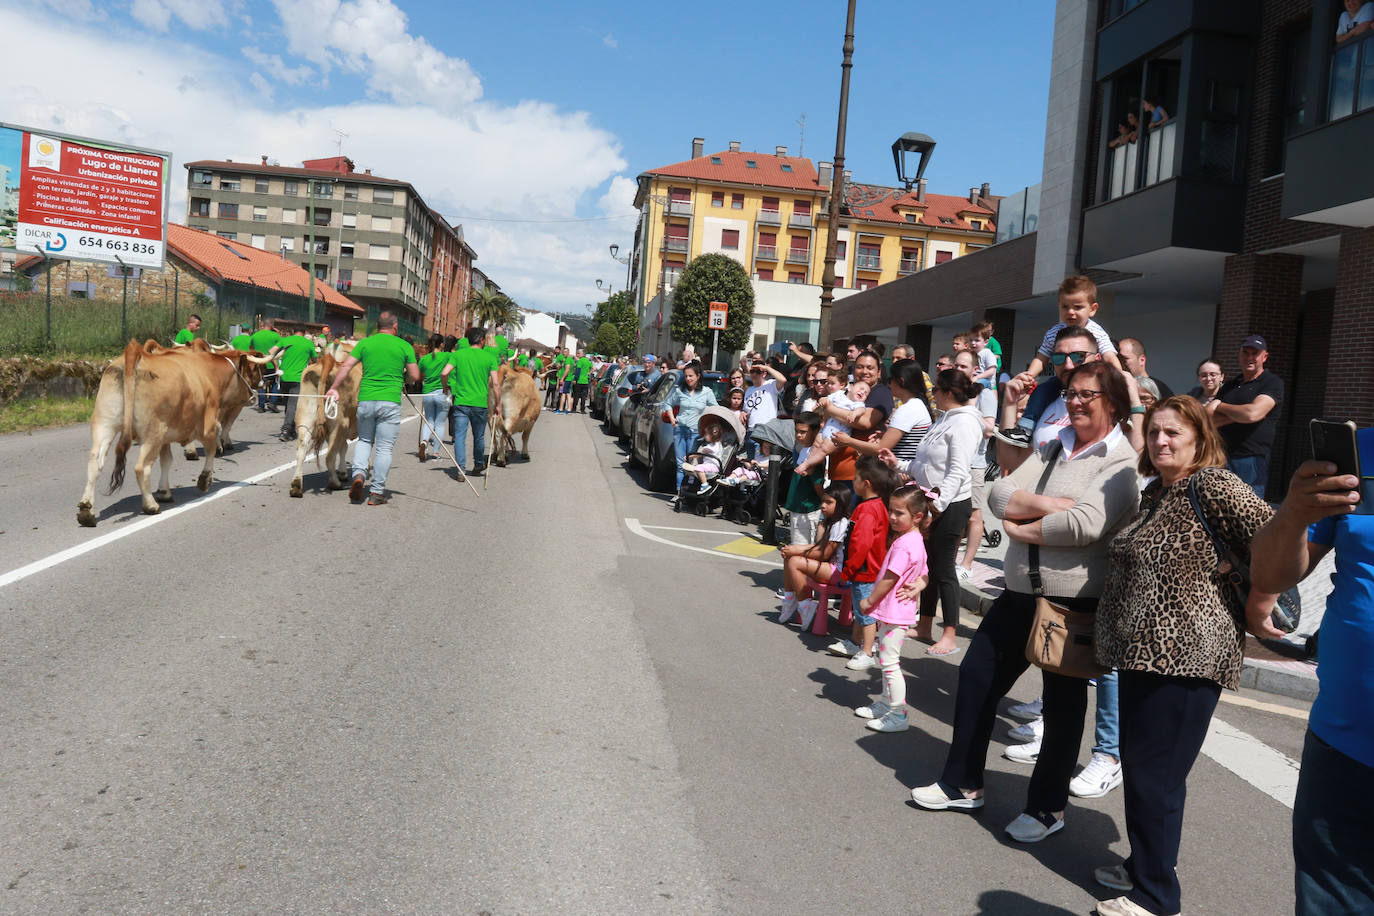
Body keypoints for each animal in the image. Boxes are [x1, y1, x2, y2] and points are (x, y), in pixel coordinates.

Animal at [75, 340, 270, 527]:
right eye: (254, 370)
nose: (259, 389)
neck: (209, 372)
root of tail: (136, 353)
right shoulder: (209, 426)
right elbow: (211, 450)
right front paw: (204, 481)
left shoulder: (165, 438)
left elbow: (167, 461)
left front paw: (164, 492)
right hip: (152, 433)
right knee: (141, 468)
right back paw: (150, 505)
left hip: (104, 425)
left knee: (95, 463)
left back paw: (86, 510)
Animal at [285, 346, 359, 502]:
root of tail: (325, 361)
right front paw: (344, 473)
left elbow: (343, 447)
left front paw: (343, 472)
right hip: (338, 423)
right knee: (329, 456)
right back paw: (335, 483)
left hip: (305, 419)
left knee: (301, 450)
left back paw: (296, 486)